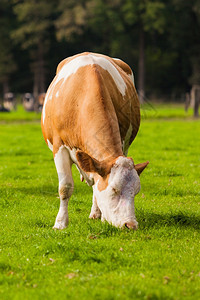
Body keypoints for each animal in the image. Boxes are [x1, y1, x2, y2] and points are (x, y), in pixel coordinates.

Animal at [41, 52, 148, 230]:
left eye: (136, 191)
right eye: (114, 189)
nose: (131, 224)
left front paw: (102, 216)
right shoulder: (59, 148)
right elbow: (65, 187)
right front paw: (60, 223)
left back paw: (96, 213)